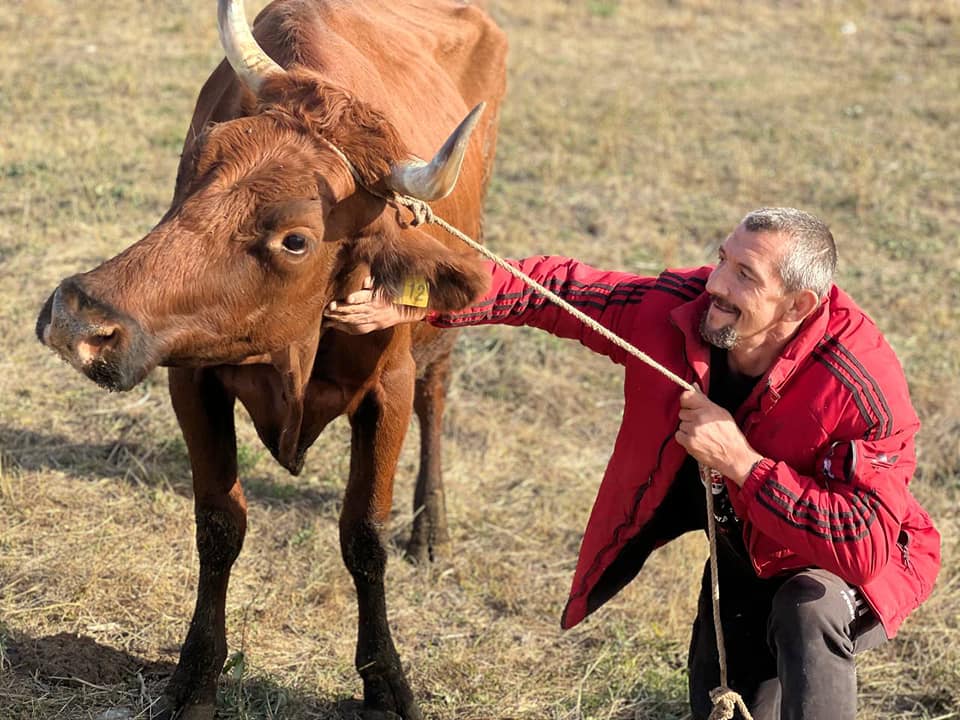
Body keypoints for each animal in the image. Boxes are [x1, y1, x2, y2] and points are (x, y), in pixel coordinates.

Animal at [33, 2, 506, 716]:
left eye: (296, 240)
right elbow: (218, 524)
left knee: (437, 395)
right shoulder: (191, 377)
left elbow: (364, 535)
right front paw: (195, 677)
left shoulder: (388, 389)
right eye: (195, 162)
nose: (78, 320)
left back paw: (430, 529)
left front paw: (385, 683)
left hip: (438, 334)